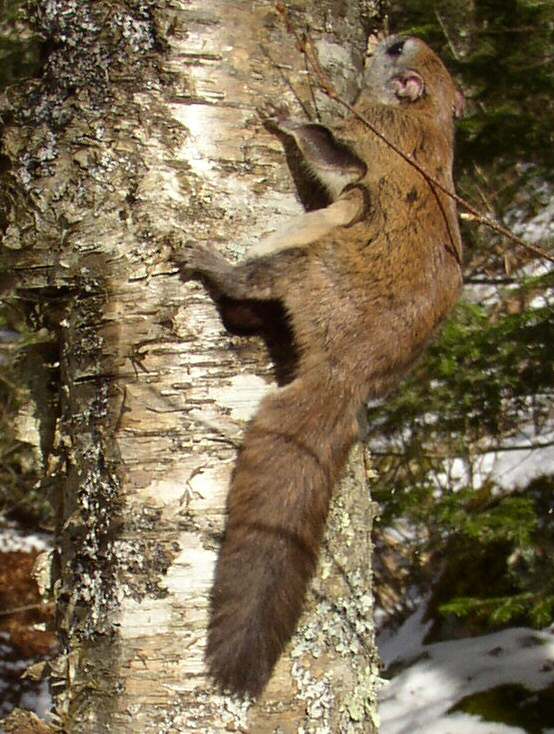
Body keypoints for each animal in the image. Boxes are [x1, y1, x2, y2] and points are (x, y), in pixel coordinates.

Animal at [173, 35, 464, 697]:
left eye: (396, 49)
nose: (385, 34)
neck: (425, 117)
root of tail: (345, 374)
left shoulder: (366, 146)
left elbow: (329, 152)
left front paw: (284, 112)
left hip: (307, 262)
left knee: (253, 284)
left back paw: (211, 265)